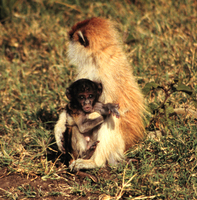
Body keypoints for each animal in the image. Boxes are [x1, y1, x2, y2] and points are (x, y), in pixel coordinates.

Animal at [54, 17, 145, 170]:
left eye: (72, 38)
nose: (68, 44)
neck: (100, 53)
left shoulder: (105, 73)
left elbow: (117, 108)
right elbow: (72, 106)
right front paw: (59, 129)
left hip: (119, 144)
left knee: (112, 118)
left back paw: (94, 162)